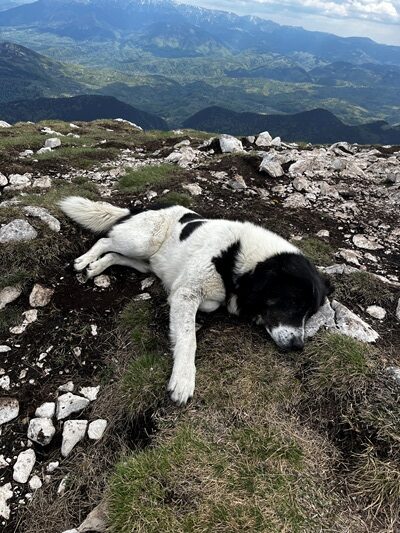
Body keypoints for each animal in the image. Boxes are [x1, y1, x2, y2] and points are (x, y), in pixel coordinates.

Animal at [60, 197, 332, 405]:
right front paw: (183, 379)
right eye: (293, 303)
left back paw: (95, 267)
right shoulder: (186, 293)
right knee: (105, 240)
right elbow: (189, 339)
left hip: (146, 262)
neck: (239, 259)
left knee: (115, 255)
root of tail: (144, 207)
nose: (298, 346)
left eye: (310, 313)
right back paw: (84, 260)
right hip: (142, 242)